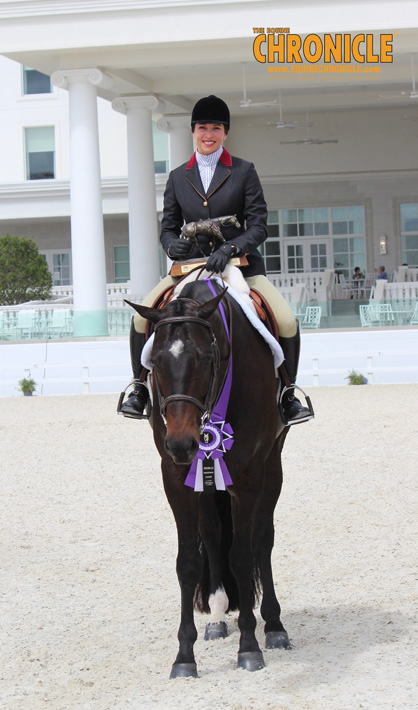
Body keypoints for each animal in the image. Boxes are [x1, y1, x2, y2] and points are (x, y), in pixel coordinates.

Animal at [131, 278, 290, 680]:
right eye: (155, 361)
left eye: (205, 359)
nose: (181, 443)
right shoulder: (175, 476)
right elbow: (188, 560)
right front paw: (184, 657)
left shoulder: (249, 473)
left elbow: (243, 555)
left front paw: (249, 647)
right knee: (214, 534)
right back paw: (218, 617)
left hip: (272, 465)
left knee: (262, 538)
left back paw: (274, 626)